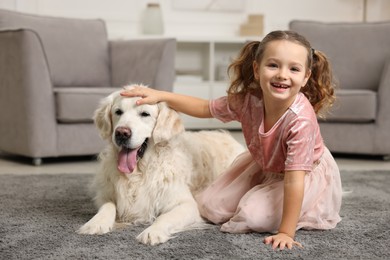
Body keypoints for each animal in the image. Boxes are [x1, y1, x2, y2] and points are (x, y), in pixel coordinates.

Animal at [77, 86, 244, 246]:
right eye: (118, 112)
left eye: (145, 114)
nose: (122, 133)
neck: (139, 172)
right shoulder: (105, 194)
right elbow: (107, 206)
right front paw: (96, 223)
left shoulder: (187, 204)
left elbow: (164, 217)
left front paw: (152, 232)